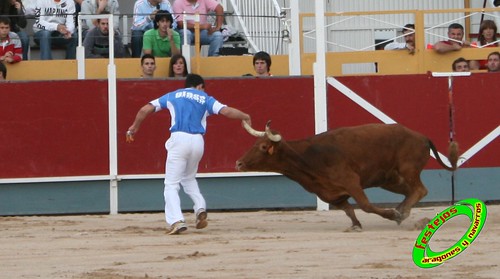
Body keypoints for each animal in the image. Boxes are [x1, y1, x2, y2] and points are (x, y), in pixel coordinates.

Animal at [236, 121, 458, 231]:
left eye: (263, 147)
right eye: (254, 144)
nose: (238, 163)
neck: (308, 159)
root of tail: (422, 136)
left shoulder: (352, 182)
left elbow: (366, 206)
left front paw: (390, 214)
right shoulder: (331, 194)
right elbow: (349, 210)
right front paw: (356, 225)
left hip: (408, 170)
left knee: (420, 189)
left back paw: (400, 214)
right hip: (390, 179)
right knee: (412, 192)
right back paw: (402, 211)